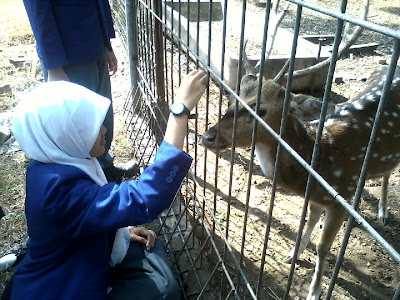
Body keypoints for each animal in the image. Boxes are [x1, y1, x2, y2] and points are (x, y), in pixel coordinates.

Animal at [202, 66, 400, 300]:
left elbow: (323, 246)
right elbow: (310, 218)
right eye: (232, 100)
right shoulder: (317, 196)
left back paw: (384, 212)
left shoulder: (344, 195)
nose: (207, 136)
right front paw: (293, 253)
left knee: (389, 172)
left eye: (260, 110)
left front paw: (314, 291)